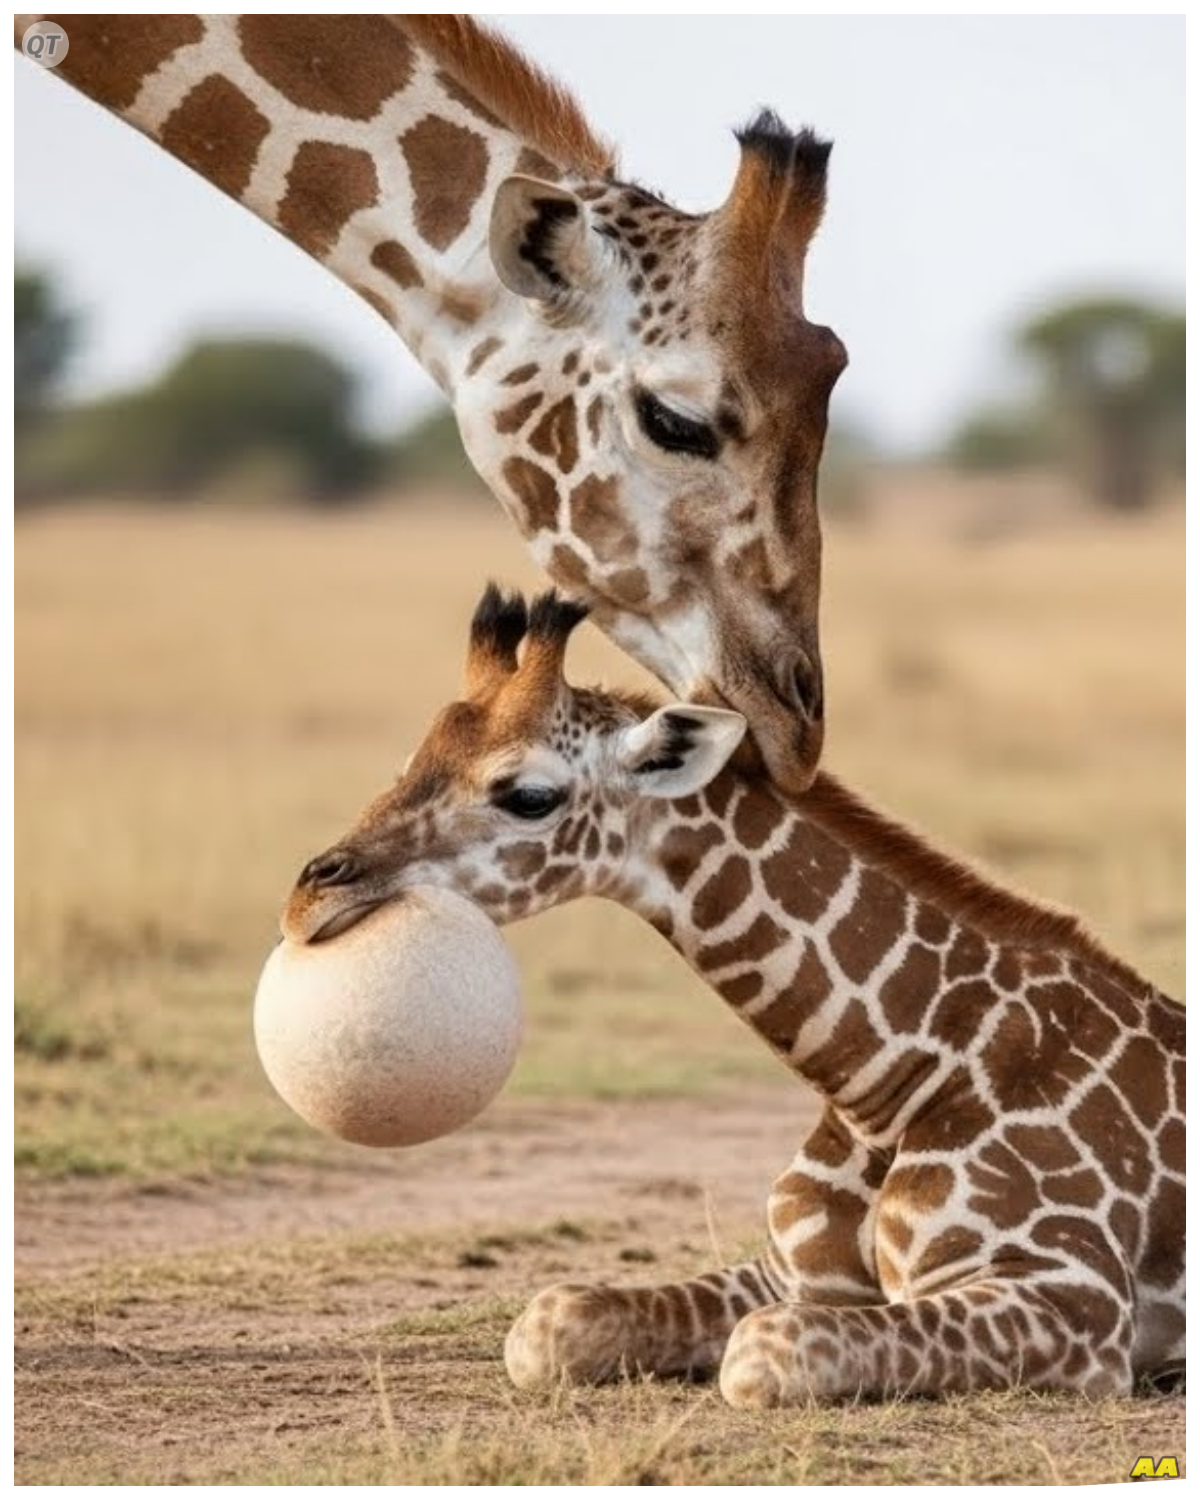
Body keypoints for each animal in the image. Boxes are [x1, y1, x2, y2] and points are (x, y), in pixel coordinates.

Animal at [282, 586, 1185, 1407]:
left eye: (527, 794)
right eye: (408, 766)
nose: (308, 897)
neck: (886, 1083)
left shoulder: (1074, 1304)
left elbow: (759, 1355)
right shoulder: (788, 1270)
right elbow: (551, 1322)